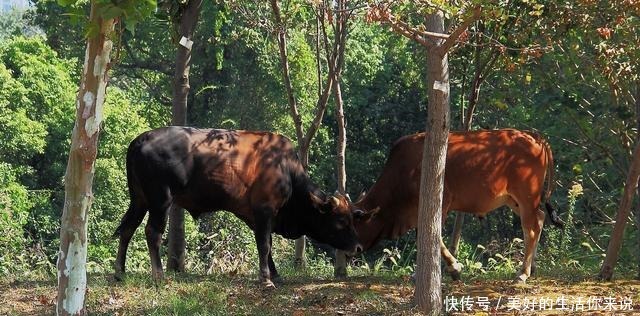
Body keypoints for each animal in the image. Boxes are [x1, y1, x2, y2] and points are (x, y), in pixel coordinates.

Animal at [114, 126, 364, 286]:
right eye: (341, 220)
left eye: (353, 219)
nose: (358, 247)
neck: (285, 169)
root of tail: (141, 139)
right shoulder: (264, 211)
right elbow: (264, 245)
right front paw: (266, 279)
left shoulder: (256, 217)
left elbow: (267, 246)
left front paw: (274, 275)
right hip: (160, 201)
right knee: (152, 233)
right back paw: (158, 276)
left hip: (139, 200)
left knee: (127, 229)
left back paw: (119, 273)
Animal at [342, 130, 564, 282]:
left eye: (351, 224)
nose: (349, 250)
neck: (403, 170)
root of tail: (536, 138)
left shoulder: (441, 203)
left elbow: (430, 235)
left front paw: (454, 268)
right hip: (514, 200)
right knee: (540, 219)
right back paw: (532, 267)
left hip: (527, 197)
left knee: (531, 228)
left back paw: (523, 273)